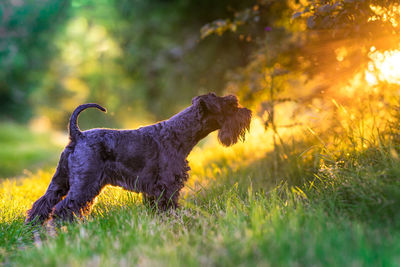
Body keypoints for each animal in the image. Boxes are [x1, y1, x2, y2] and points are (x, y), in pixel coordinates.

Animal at [25, 93, 250, 224]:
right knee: (64, 208)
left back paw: (33, 228)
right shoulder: (167, 185)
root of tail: (77, 136)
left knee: (43, 203)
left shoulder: (154, 190)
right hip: (84, 184)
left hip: (60, 181)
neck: (179, 132)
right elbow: (168, 206)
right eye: (231, 105)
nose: (247, 113)